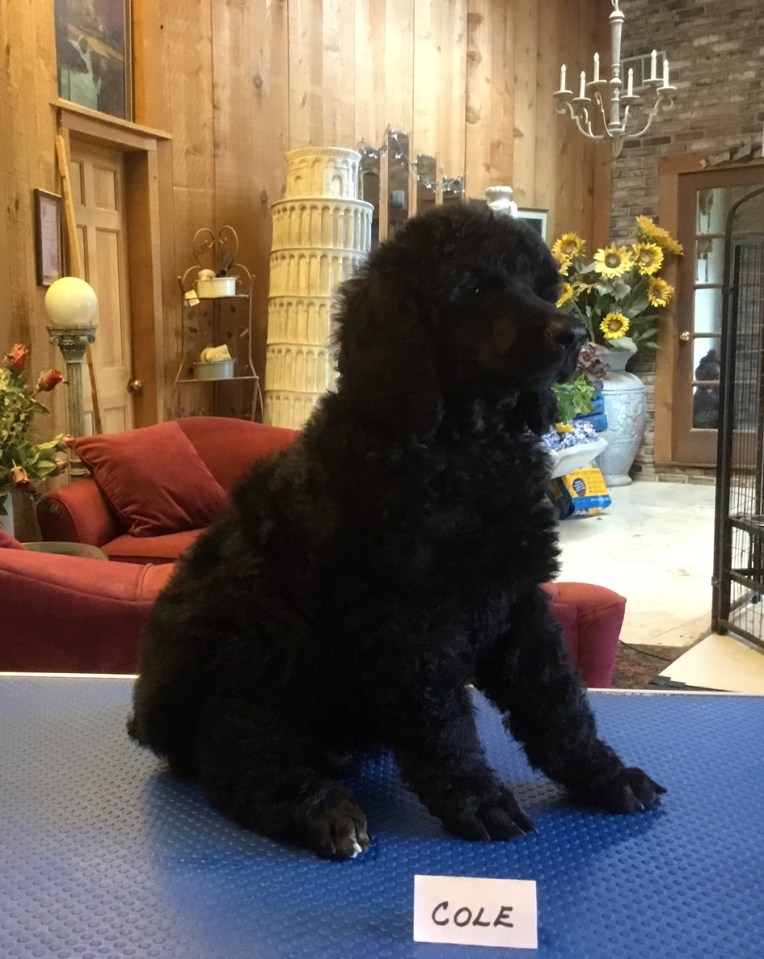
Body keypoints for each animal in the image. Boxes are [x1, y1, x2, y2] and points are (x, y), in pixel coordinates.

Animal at [129, 204, 664, 859]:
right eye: (475, 288)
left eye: (542, 287)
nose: (573, 335)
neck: (461, 447)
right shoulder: (410, 617)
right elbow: (443, 719)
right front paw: (476, 799)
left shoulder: (517, 599)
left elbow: (556, 697)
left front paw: (604, 775)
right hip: (255, 646)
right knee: (234, 755)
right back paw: (321, 810)